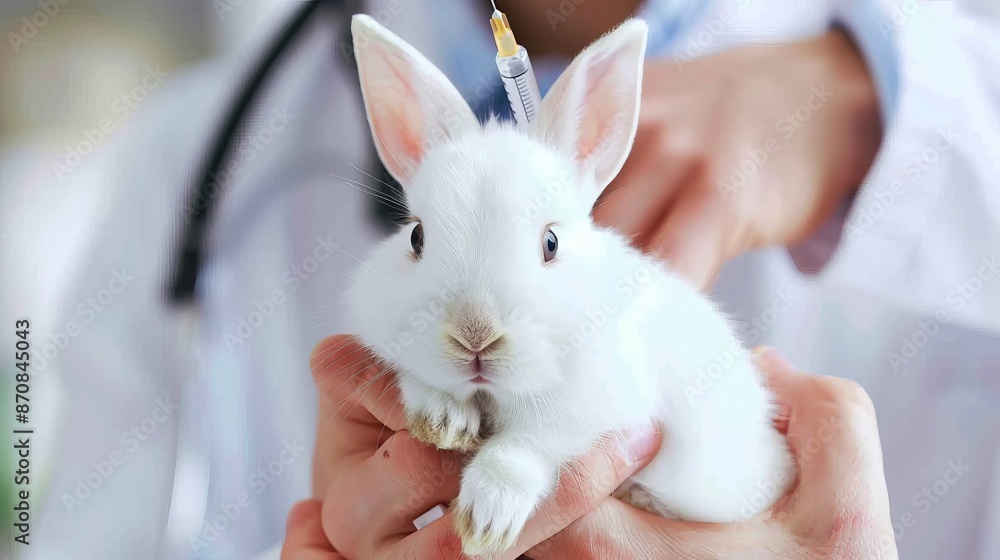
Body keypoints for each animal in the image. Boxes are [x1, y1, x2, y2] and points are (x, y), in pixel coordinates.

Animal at [346, 14, 795, 556]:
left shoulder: (597, 409)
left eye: (551, 243)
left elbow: (531, 445)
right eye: (416, 237)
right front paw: (443, 422)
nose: (475, 335)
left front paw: (487, 519)